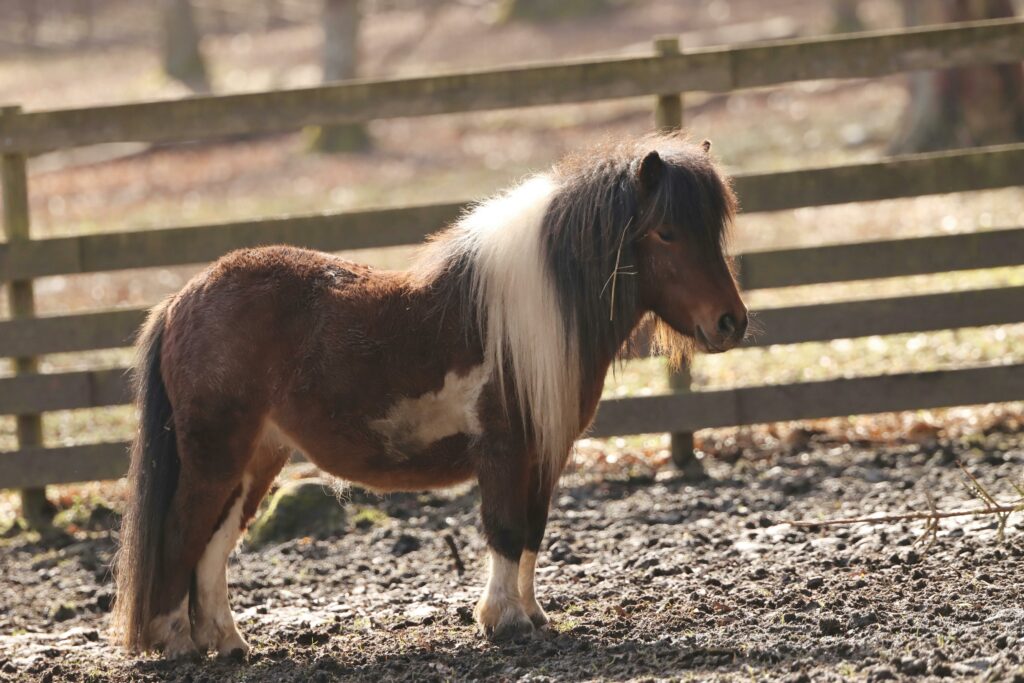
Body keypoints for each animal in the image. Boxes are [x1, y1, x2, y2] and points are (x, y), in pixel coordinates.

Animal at [112, 132, 749, 655]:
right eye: (665, 232)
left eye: (714, 232)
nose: (731, 323)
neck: (529, 315)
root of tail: (181, 299)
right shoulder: (504, 450)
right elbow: (505, 530)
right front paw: (503, 622)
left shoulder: (544, 454)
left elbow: (532, 531)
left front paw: (534, 615)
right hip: (214, 457)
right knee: (181, 535)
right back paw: (176, 642)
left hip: (255, 459)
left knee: (213, 545)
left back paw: (227, 643)